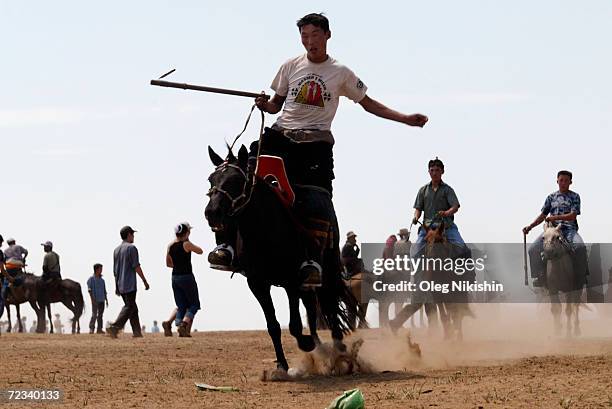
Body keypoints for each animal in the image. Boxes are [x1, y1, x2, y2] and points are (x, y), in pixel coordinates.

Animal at [206, 146, 358, 372]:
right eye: (211, 179)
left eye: (236, 180)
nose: (212, 212)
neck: (265, 230)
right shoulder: (257, 284)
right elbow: (273, 325)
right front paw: (281, 365)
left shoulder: (291, 282)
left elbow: (295, 324)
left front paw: (305, 343)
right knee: (312, 306)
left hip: (327, 269)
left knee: (329, 305)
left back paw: (338, 351)